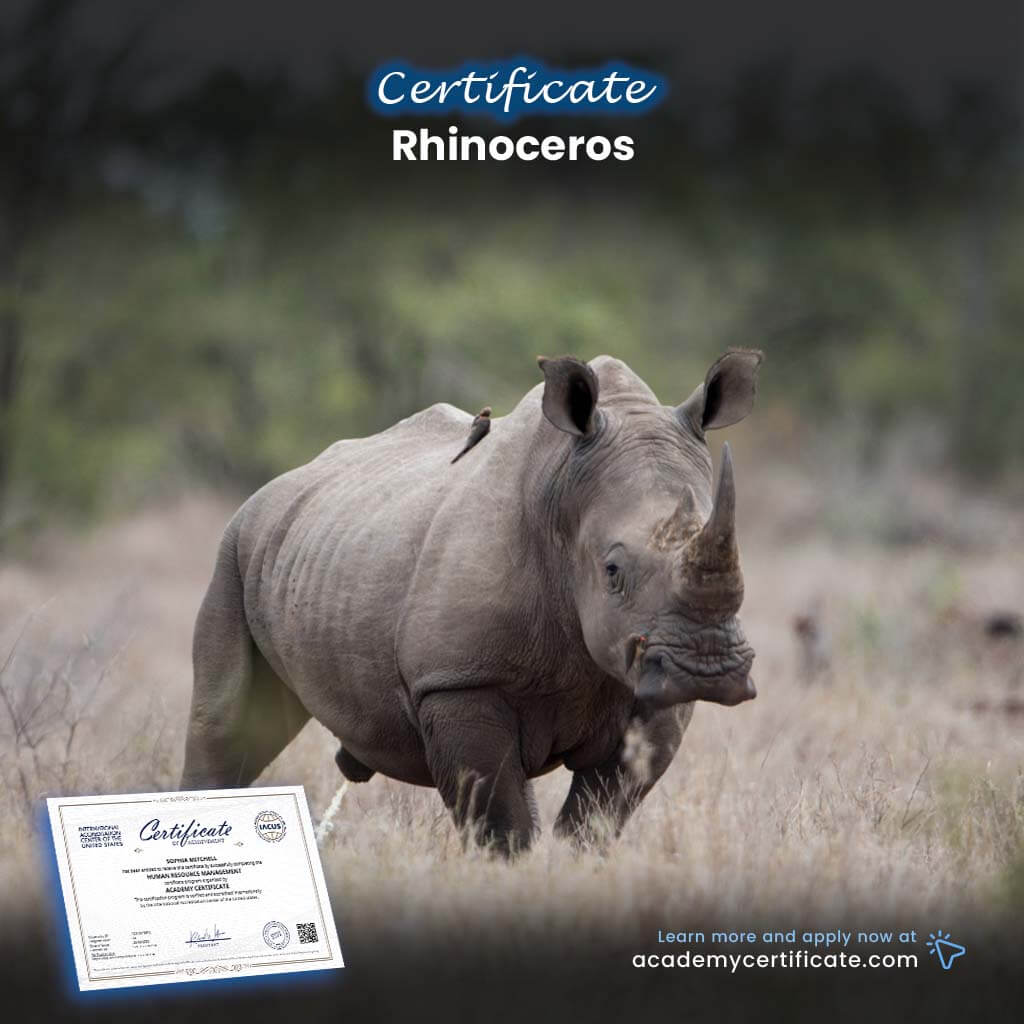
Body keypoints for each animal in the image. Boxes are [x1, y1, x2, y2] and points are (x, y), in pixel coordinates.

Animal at [181, 351, 763, 854]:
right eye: (612, 571)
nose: (707, 668)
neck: (560, 490)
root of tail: (275, 487)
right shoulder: (458, 681)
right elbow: (500, 821)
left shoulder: (651, 689)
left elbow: (595, 819)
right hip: (235, 546)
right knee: (226, 726)